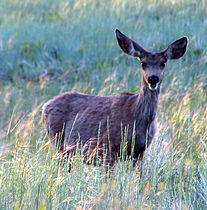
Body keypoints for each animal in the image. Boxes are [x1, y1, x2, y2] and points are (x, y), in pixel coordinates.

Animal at [41, 29, 188, 167]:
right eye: (142, 63)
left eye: (163, 63)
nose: (153, 78)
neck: (137, 115)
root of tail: (45, 106)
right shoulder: (107, 148)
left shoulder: (139, 152)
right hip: (58, 142)